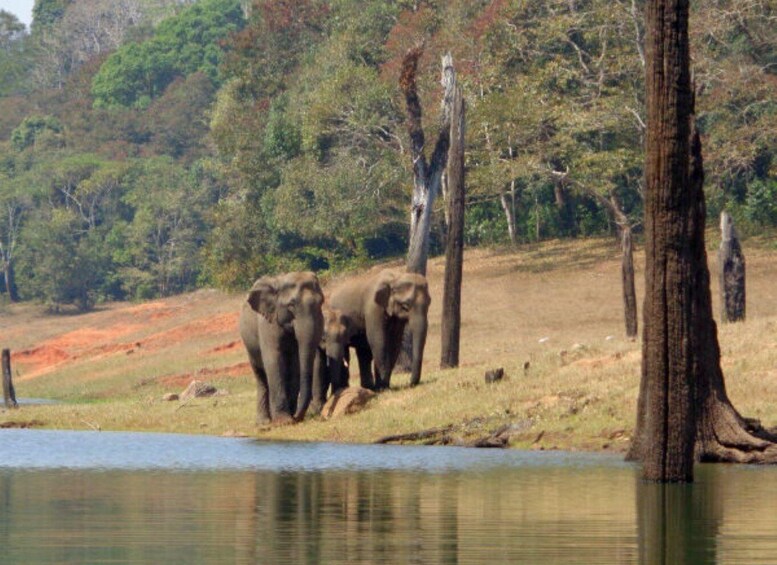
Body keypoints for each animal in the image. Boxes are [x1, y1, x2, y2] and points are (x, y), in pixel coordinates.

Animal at [239, 272, 324, 425]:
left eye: (321, 302)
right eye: (291, 305)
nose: (297, 417)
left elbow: (295, 364)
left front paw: (288, 417)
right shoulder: (267, 322)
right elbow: (274, 360)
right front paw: (284, 421)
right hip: (249, 347)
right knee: (261, 377)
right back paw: (264, 422)